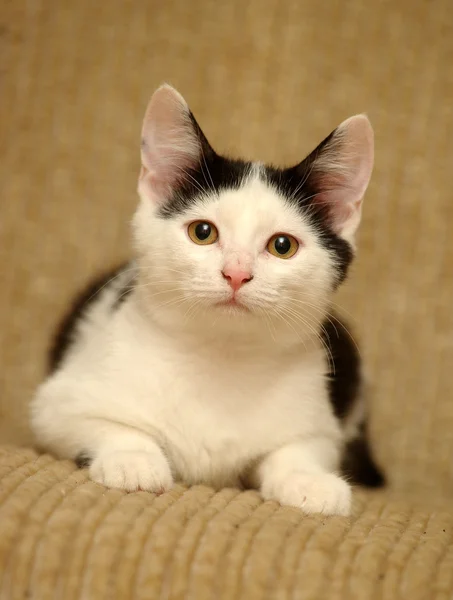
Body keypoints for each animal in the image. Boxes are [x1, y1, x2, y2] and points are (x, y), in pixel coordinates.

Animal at [30, 83, 384, 516]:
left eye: (282, 246)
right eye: (203, 232)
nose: (236, 273)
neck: (220, 354)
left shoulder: (320, 422)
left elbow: (299, 447)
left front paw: (308, 480)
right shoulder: (56, 403)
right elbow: (108, 424)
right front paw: (134, 459)